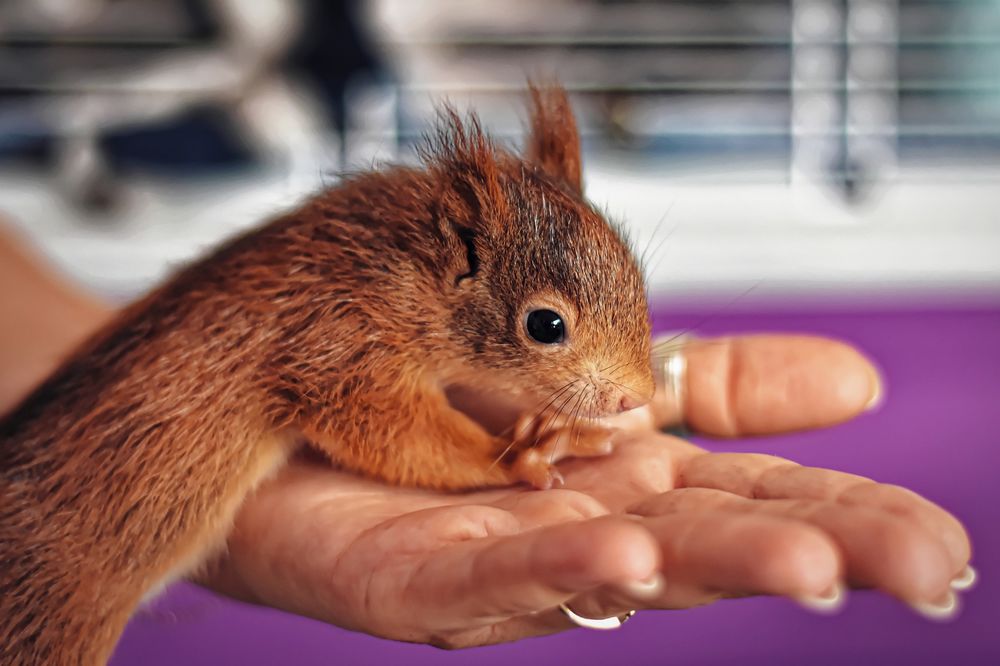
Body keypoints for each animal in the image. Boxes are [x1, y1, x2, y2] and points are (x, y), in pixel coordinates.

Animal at [0, 85, 656, 660]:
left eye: (633, 272)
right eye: (545, 325)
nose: (637, 398)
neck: (401, 271)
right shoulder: (340, 347)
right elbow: (394, 431)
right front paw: (521, 454)